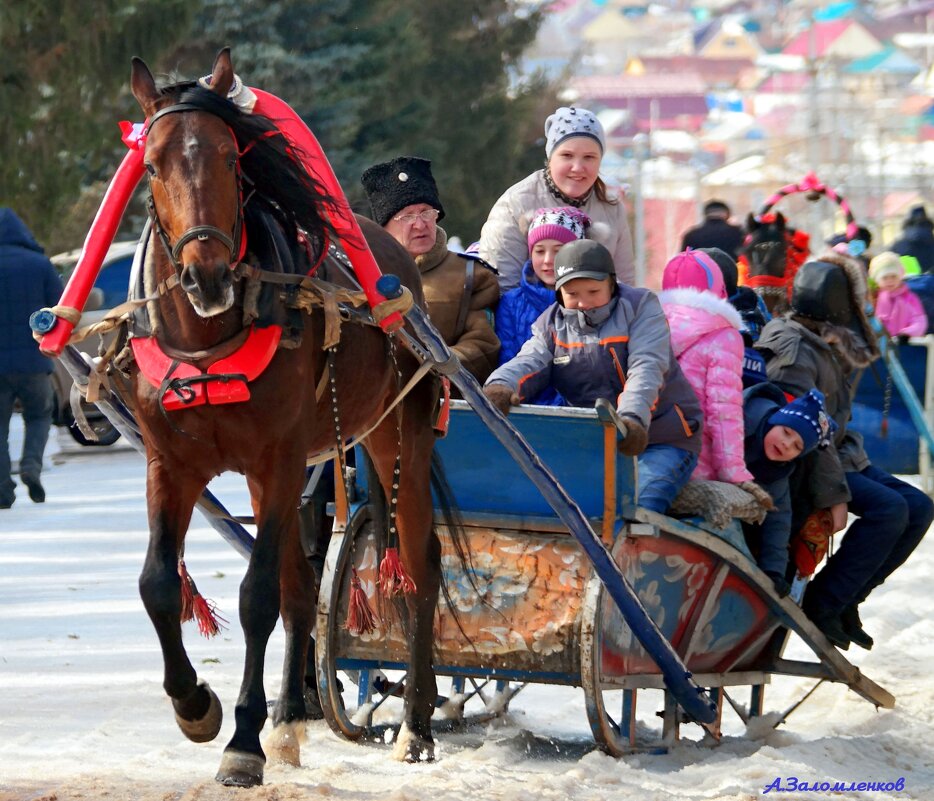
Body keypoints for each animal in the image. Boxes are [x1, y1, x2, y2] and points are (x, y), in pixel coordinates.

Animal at [130, 51, 444, 788]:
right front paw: (196, 705)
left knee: (420, 564)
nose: (207, 274)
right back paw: (291, 721)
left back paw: (415, 726)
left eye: (228, 155)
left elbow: (255, 597)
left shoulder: (276, 458)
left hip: (397, 434)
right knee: (303, 584)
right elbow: (158, 584)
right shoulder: (171, 463)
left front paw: (241, 741)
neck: (208, 337)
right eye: (151, 164)